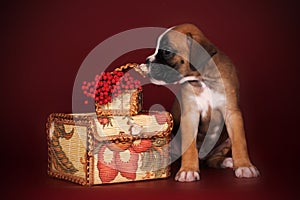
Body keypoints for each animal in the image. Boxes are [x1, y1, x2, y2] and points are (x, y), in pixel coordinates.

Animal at [144, 23, 258, 181]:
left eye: (166, 52)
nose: (147, 61)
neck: (203, 79)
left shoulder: (233, 114)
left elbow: (240, 142)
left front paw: (244, 166)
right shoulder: (190, 115)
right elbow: (189, 147)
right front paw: (188, 170)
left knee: (212, 160)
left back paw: (226, 161)